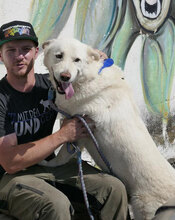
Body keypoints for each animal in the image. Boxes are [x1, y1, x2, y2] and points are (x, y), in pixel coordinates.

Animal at [42, 37, 175, 220]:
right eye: (59, 56)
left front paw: (48, 164)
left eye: (77, 60)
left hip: (143, 206)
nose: (65, 76)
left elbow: (62, 155)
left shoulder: (81, 127)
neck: (88, 79)